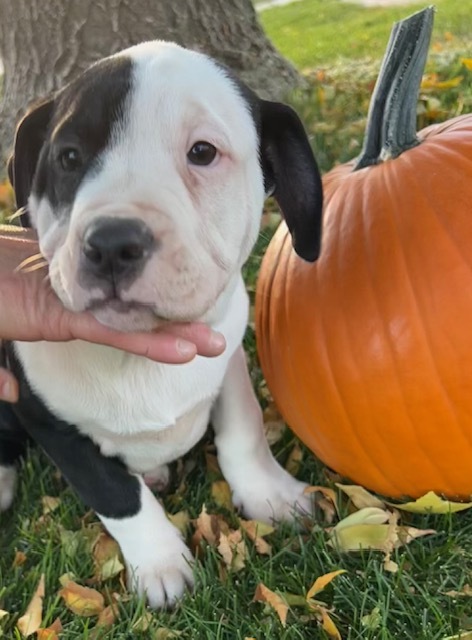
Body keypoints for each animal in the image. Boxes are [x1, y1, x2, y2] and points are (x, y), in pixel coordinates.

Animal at [0, 40, 322, 608]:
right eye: (68, 158)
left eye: (203, 152)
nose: (111, 242)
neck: (135, 355)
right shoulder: (48, 421)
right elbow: (114, 493)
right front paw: (161, 562)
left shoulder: (227, 358)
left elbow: (245, 429)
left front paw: (270, 493)